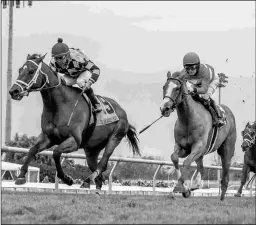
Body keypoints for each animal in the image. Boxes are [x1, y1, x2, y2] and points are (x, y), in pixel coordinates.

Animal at [10, 53, 141, 192]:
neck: (60, 105)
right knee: (98, 173)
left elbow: (56, 153)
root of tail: (122, 111)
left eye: (31, 71)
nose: (13, 91)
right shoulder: (48, 138)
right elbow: (32, 150)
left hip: (115, 137)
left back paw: (87, 180)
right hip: (92, 150)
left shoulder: (74, 140)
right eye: (19, 70)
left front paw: (67, 179)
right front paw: (21, 176)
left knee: (103, 164)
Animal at [161, 71, 237, 200]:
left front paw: (179, 186)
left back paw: (222, 195)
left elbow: (186, 162)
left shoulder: (198, 146)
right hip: (200, 154)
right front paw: (185, 188)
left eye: (177, 88)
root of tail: (228, 111)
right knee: (201, 168)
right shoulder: (183, 147)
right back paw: (194, 185)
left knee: (225, 169)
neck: (188, 119)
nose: (164, 108)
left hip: (227, 148)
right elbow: (174, 157)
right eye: (164, 87)